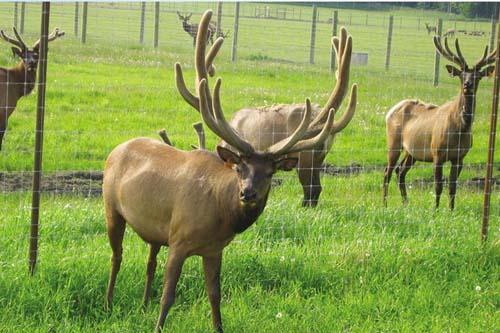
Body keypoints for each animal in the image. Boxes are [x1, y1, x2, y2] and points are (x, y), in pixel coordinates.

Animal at [103, 10, 334, 332]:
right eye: (239, 167)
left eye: (270, 172)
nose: (248, 193)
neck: (218, 213)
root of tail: (117, 149)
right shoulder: (178, 239)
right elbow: (169, 296)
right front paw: (158, 325)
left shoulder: (214, 249)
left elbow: (215, 295)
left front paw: (218, 326)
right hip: (111, 208)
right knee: (116, 256)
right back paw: (109, 302)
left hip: (154, 230)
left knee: (149, 259)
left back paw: (143, 302)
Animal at [382, 36, 496, 208]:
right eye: (461, 75)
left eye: (478, 76)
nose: (467, 85)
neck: (460, 129)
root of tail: (390, 111)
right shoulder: (437, 152)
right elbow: (438, 185)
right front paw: (435, 209)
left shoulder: (459, 157)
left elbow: (452, 187)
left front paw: (451, 210)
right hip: (394, 142)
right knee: (387, 172)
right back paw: (385, 204)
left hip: (411, 152)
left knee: (400, 171)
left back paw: (406, 203)